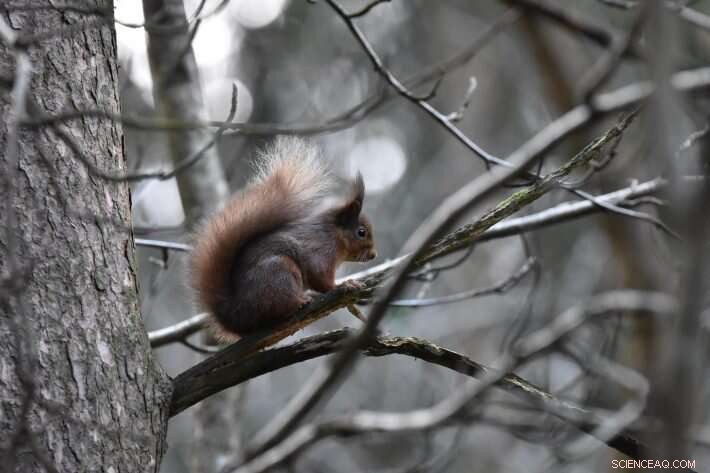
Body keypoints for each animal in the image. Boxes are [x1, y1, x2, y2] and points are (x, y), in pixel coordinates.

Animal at [190, 137, 377, 340]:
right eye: (361, 232)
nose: (374, 255)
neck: (334, 235)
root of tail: (236, 316)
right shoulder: (320, 250)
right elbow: (320, 277)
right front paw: (343, 285)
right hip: (279, 272)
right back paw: (300, 301)